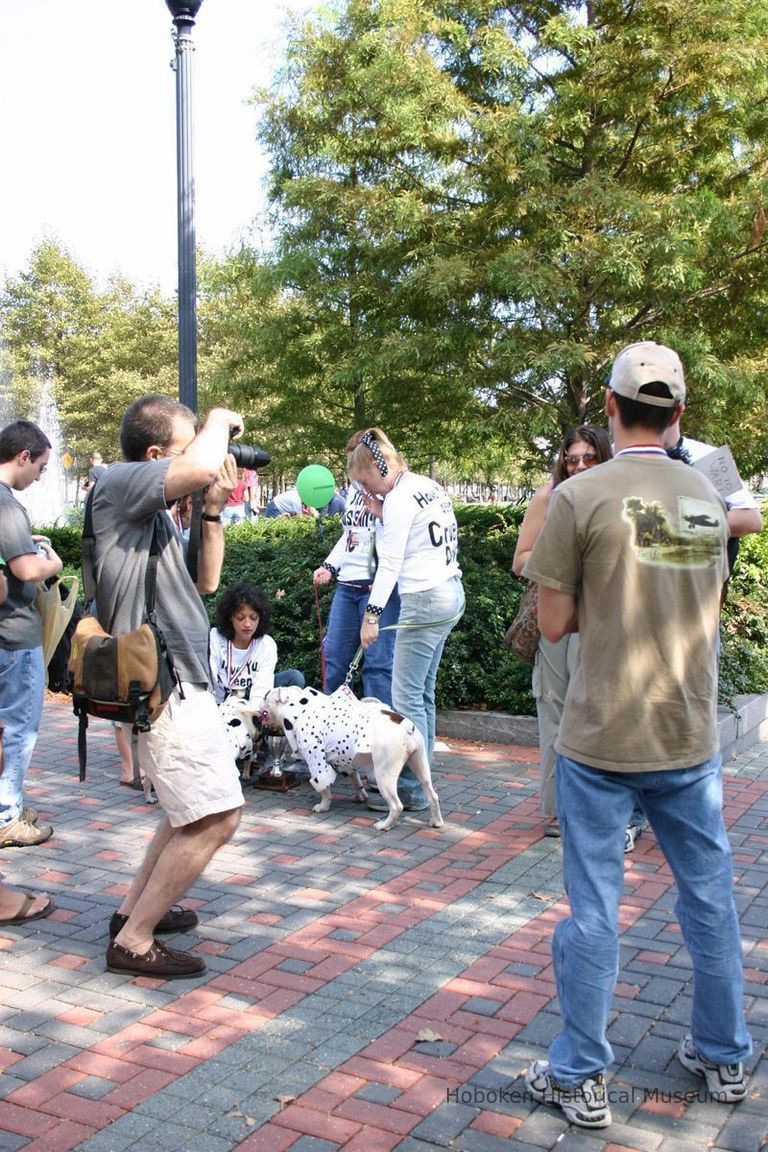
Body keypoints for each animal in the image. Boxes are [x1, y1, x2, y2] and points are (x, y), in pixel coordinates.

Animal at [256, 681, 444, 829]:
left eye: (265, 696)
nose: (257, 705)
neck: (298, 708)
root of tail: (406, 726)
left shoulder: (316, 760)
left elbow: (324, 788)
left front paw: (323, 806)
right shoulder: (346, 761)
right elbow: (355, 780)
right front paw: (361, 796)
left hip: (385, 774)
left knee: (397, 805)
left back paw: (385, 825)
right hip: (419, 764)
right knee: (432, 794)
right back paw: (436, 822)